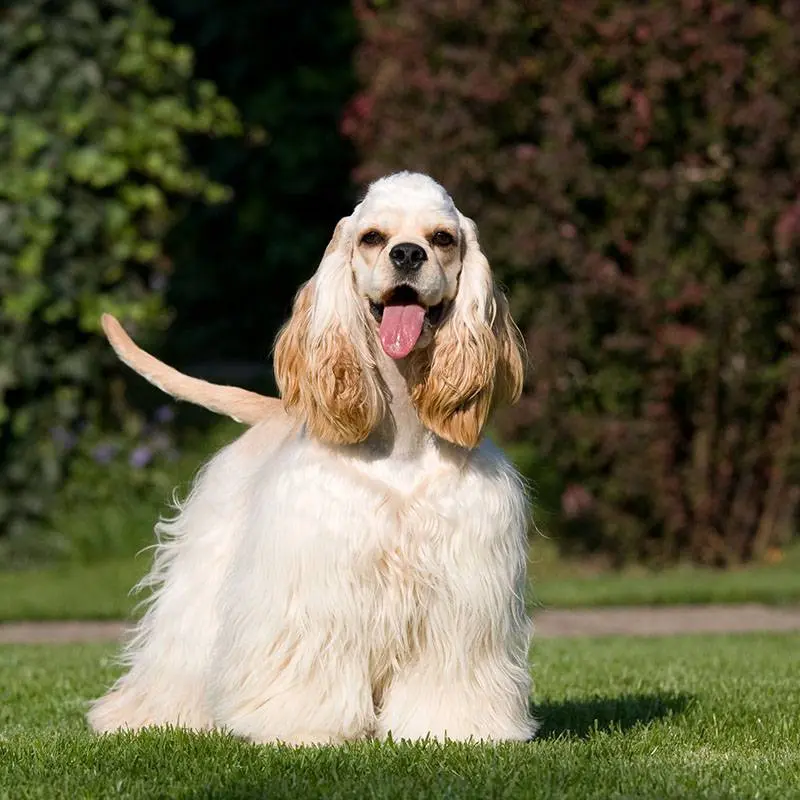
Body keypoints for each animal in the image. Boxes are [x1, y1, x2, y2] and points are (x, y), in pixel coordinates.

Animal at [87, 172, 536, 748]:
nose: (407, 254)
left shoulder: (461, 588)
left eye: (442, 238)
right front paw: (300, 727)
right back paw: (149, 716)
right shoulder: (316, 581)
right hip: (206, 570)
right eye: (372, 237)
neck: (403, 436)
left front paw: (454, 729)